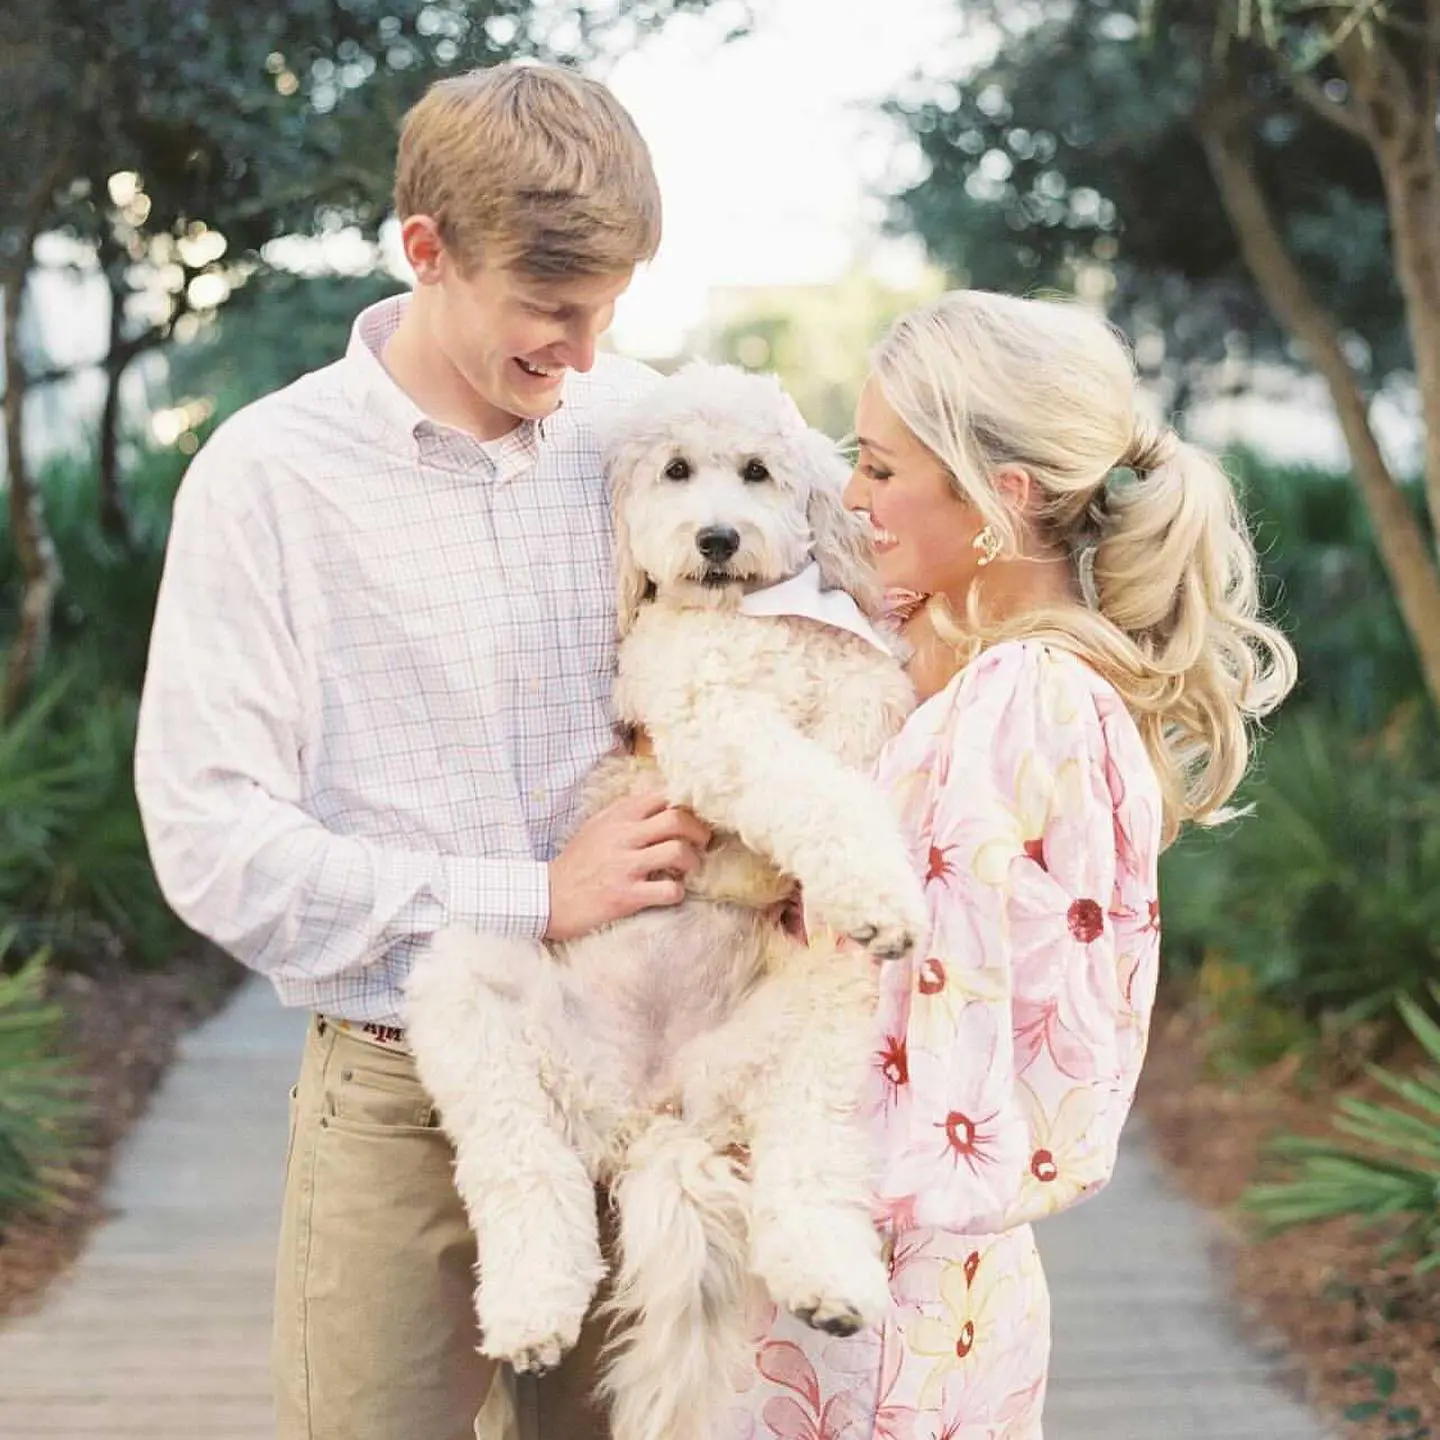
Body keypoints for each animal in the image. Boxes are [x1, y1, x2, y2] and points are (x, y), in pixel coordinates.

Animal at [406, 362, 921, 1440]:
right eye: (676, 471)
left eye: (757, 472)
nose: (716, 539)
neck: (744, 619)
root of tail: (653, 1115)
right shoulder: (709, 725)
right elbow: (804, 781)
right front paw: (865, 876)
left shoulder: (863, 687)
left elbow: (850, 744)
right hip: (469, 990)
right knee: (519, 1164)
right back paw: (533, 1306)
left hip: (820, 1010)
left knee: (810, 1151)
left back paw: (827, 1279)